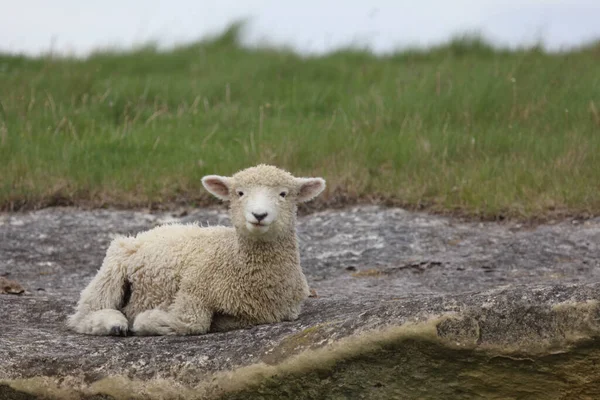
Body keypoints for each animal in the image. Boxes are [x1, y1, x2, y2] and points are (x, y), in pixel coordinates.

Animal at [67, 164, 326, 336]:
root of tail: (149, 231)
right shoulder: (194, 287)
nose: (259, 215)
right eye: (239, 193)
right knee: (83, 313)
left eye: (283, 194)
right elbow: (193, 322)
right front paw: (146, 319)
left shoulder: (278, 312)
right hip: (112, 267)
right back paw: (113, 323)